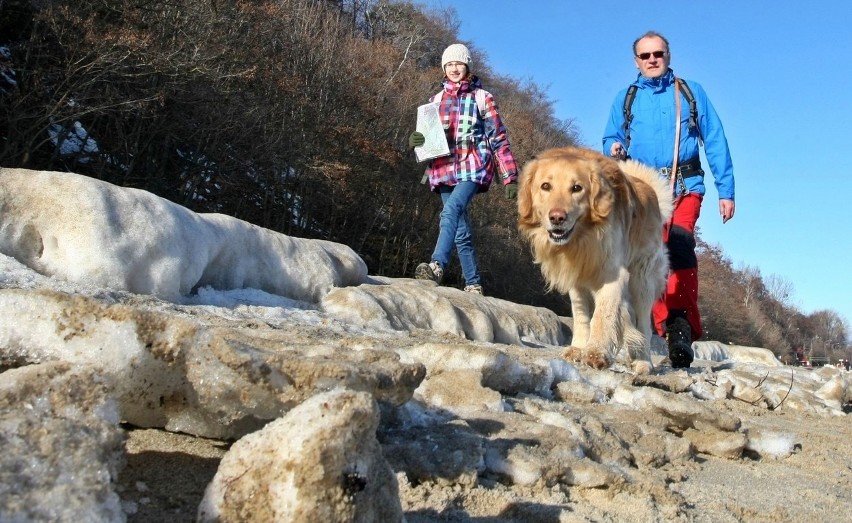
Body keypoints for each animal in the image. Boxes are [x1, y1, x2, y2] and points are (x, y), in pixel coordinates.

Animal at [520, 149, 672, 374]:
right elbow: (582, 315)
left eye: (577, 188)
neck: (584, 238)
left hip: (642, 279)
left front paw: (596, 352)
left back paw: (643, 361)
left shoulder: (613, 275)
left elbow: (602, 315)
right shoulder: (577, 279)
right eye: (545, 186)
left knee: (644, 322)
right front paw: (578, 347)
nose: (557, 218)